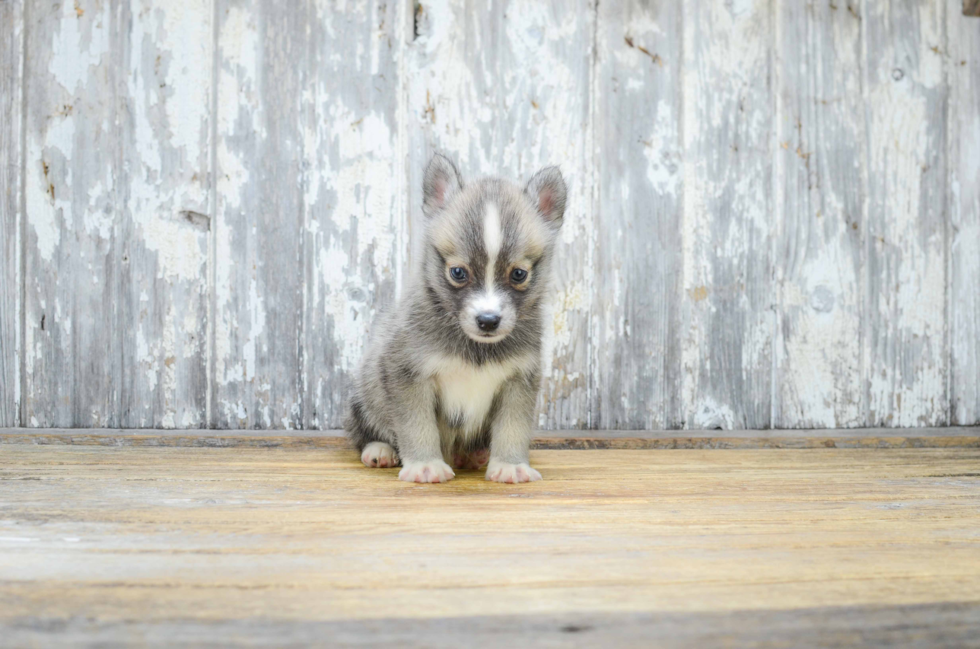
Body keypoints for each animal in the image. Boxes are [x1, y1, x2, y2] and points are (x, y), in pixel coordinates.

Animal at [344, 154, 568, 480]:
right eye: (458, 272)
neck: (476, 348)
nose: (488, 320)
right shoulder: (407, 375)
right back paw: (380, 450)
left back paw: (473, 455)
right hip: (365, 389)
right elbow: (416, 425)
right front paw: (424, 464)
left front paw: (511, 465)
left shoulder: (518, 381)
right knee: (364, 429)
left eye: (518, 274)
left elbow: (513, 428)